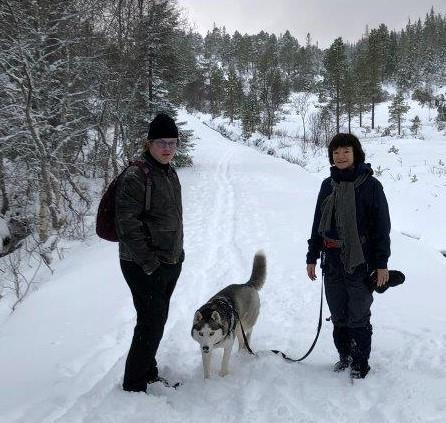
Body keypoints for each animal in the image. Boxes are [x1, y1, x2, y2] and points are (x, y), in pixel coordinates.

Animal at [191, 252, 264, 380]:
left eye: (211, 333)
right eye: (200, 333)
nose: (205, 348)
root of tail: (246, 284)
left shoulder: (228, 344)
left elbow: (224, 361)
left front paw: (223, 375)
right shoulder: (204, 347)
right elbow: (206, 367)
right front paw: (207, 381)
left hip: (243, 324)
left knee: (247, 335)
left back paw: (244, 349)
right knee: (242, 340)